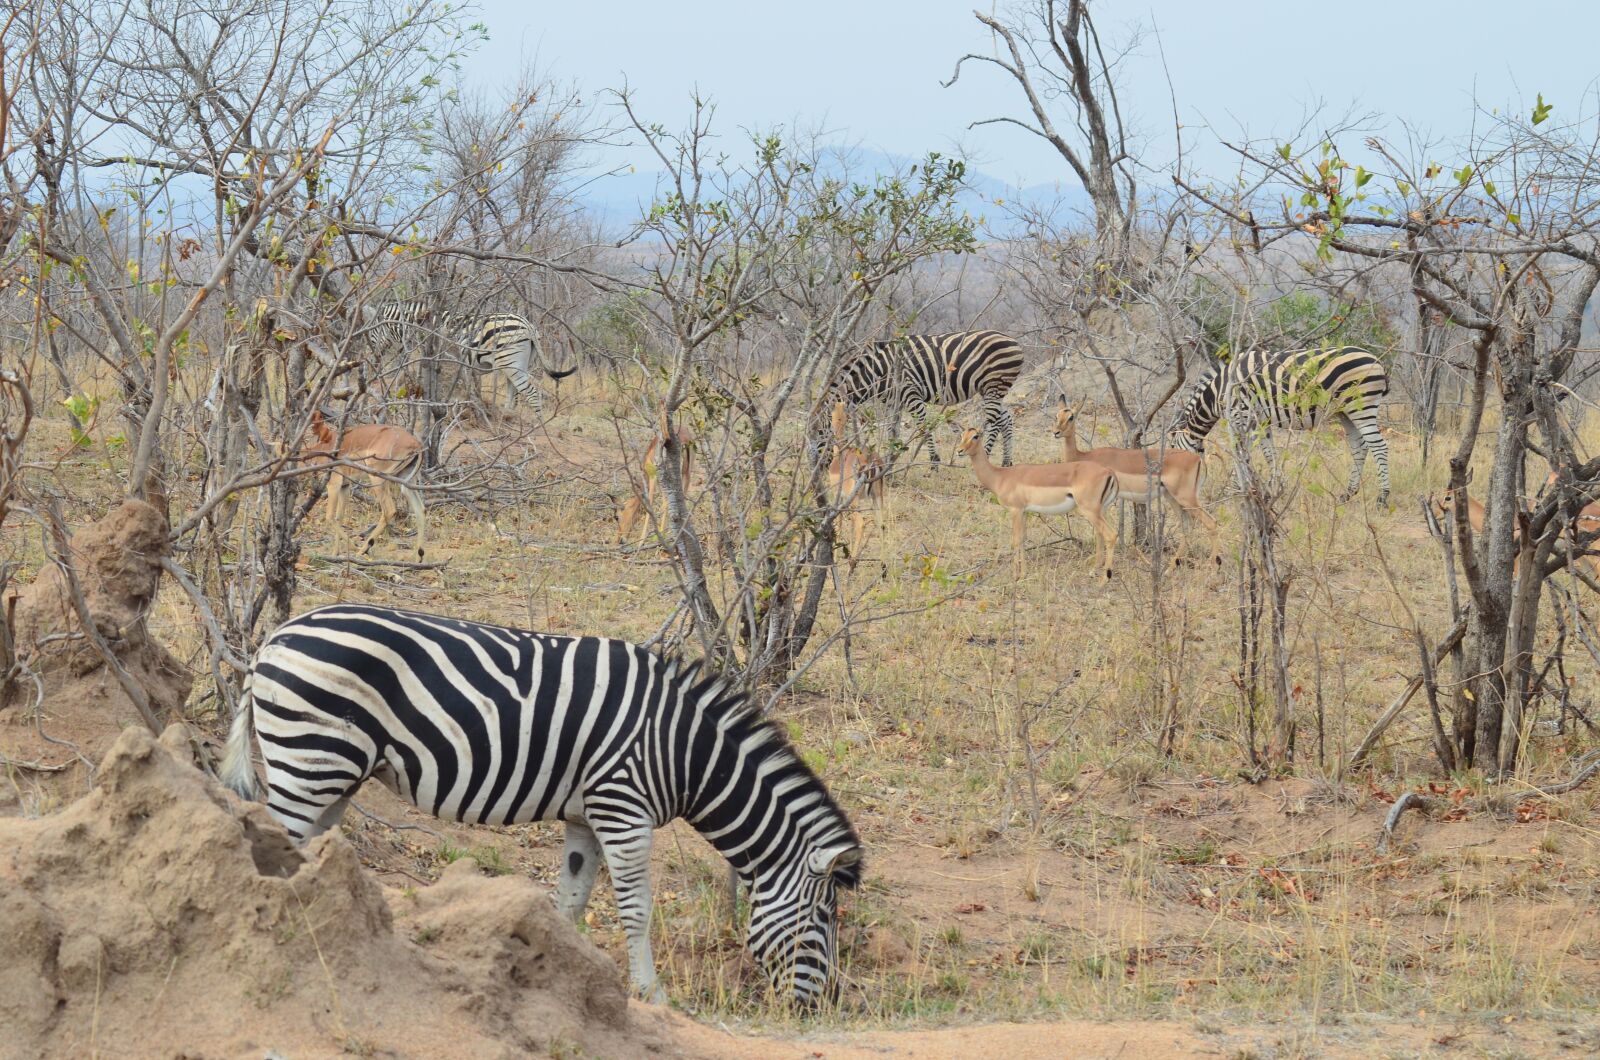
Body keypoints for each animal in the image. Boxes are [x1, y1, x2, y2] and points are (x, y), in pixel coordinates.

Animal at [220, 603, 863, 1005]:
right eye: (825, 919)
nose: (820, 1007)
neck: (684, 751)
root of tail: (273, 638)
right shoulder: (623, 808)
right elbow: (636, 908)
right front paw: (651, 994)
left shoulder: (586, 816)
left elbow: (570, 901)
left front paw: (555, 972)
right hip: (309, 759)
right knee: (274, 845)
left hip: (335, 772)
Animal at [367, 301, 577, 411]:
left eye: (370, 331)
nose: (371, 361)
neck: (415, 324)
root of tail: (528, 325)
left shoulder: (427, 354)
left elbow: (413, 376)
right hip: (518, 363)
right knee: (514, 391)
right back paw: (507, 417)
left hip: (510, 361)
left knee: (531, 393)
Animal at [827, 331, 1025, 466]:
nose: (828, 464)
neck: (879, 373)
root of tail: (1014, 341)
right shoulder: (894, 402)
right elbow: (893, 430)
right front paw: (890, 462)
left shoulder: (911, 393)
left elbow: (923, 426)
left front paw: (934, 462)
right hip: (991, 389)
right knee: (1006, 419)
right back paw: (1006, 462)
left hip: (994, 384)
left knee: (995, 422)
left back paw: (984, 455)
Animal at [1167, 345, 1391, 504]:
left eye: (1171, 450)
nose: (1171, 492)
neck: (1217, 393)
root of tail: (1377, 360)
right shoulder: (1261, 421)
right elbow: (1270, 454)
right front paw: (1273, 489)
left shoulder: (1243, 416)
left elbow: (1242, 455)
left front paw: (1236, 490)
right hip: (1345, 412)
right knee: (1359, 448)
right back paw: (1348, 494)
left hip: (1362, 405)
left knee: (1379, 446)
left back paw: (1383, 498)